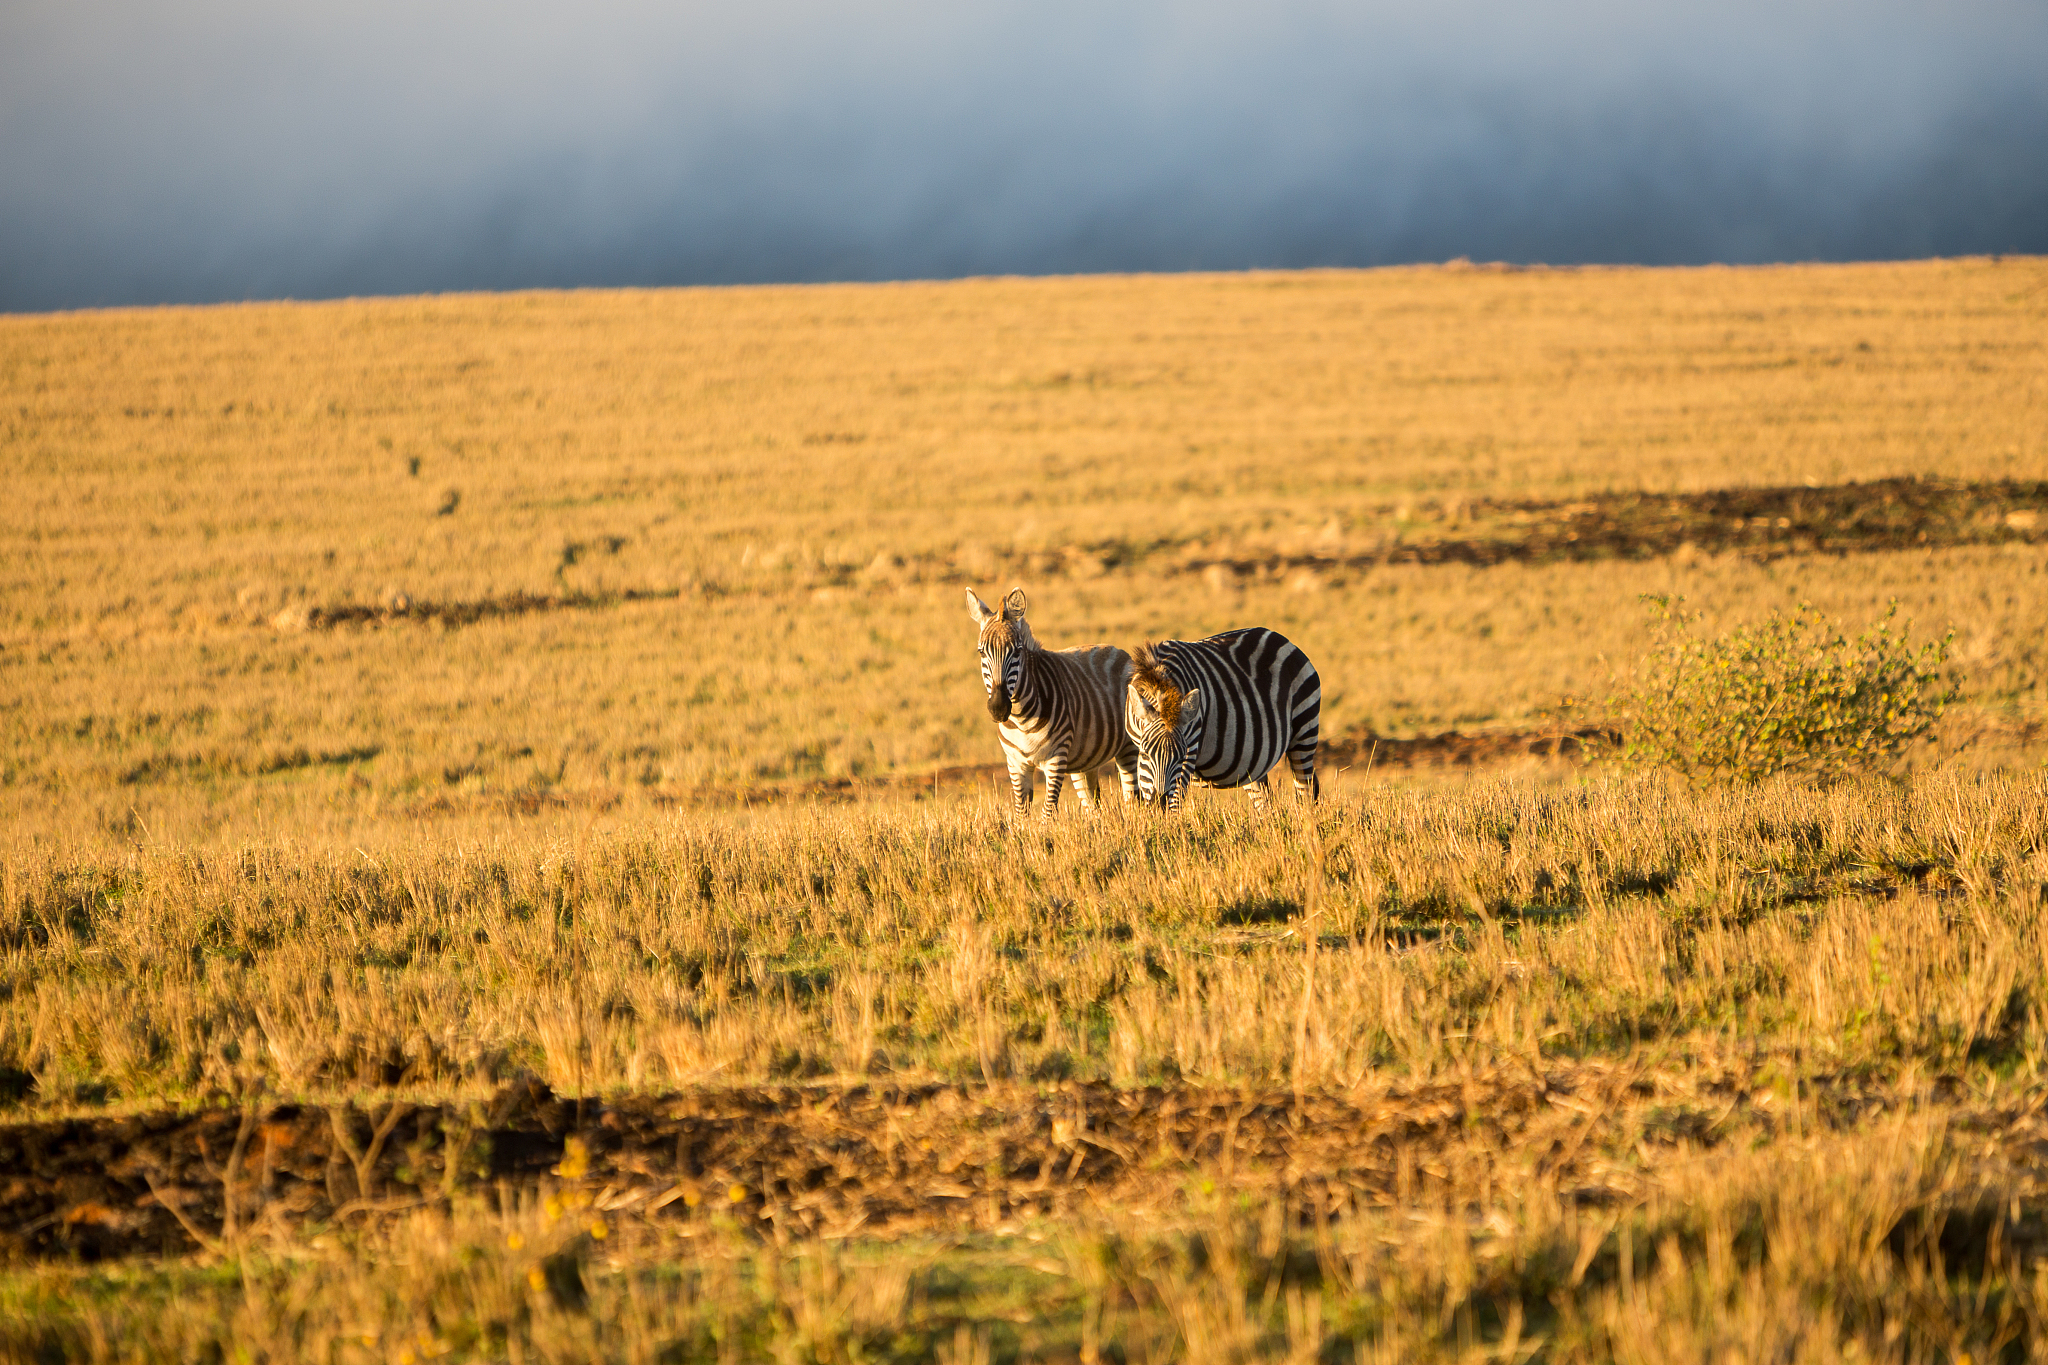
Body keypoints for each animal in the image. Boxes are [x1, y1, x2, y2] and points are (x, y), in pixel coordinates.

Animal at [968, 587, 1140, 817]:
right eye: (981, 652)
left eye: (1017, 651)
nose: (998, 708)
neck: (1020, 719)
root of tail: (1117, 650)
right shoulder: (1016, 764)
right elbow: (1021, 814)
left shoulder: (1055, 759)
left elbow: (1047, 813)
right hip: (1086, 759)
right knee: (1093, 804)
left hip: (1128, 747)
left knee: (1133, 799)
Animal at [1125, 628, 1321, 811]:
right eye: (1144, 753)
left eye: (1180, 757)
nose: (1160, 804)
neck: (1159, 678)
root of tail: (1277, 636)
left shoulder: (1191, 747)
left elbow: (1176, 801)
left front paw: (1171, 826)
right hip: (1252, 761)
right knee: (1265, 801)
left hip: (1304, 731)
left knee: (1306, 791)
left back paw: (1306, 822)